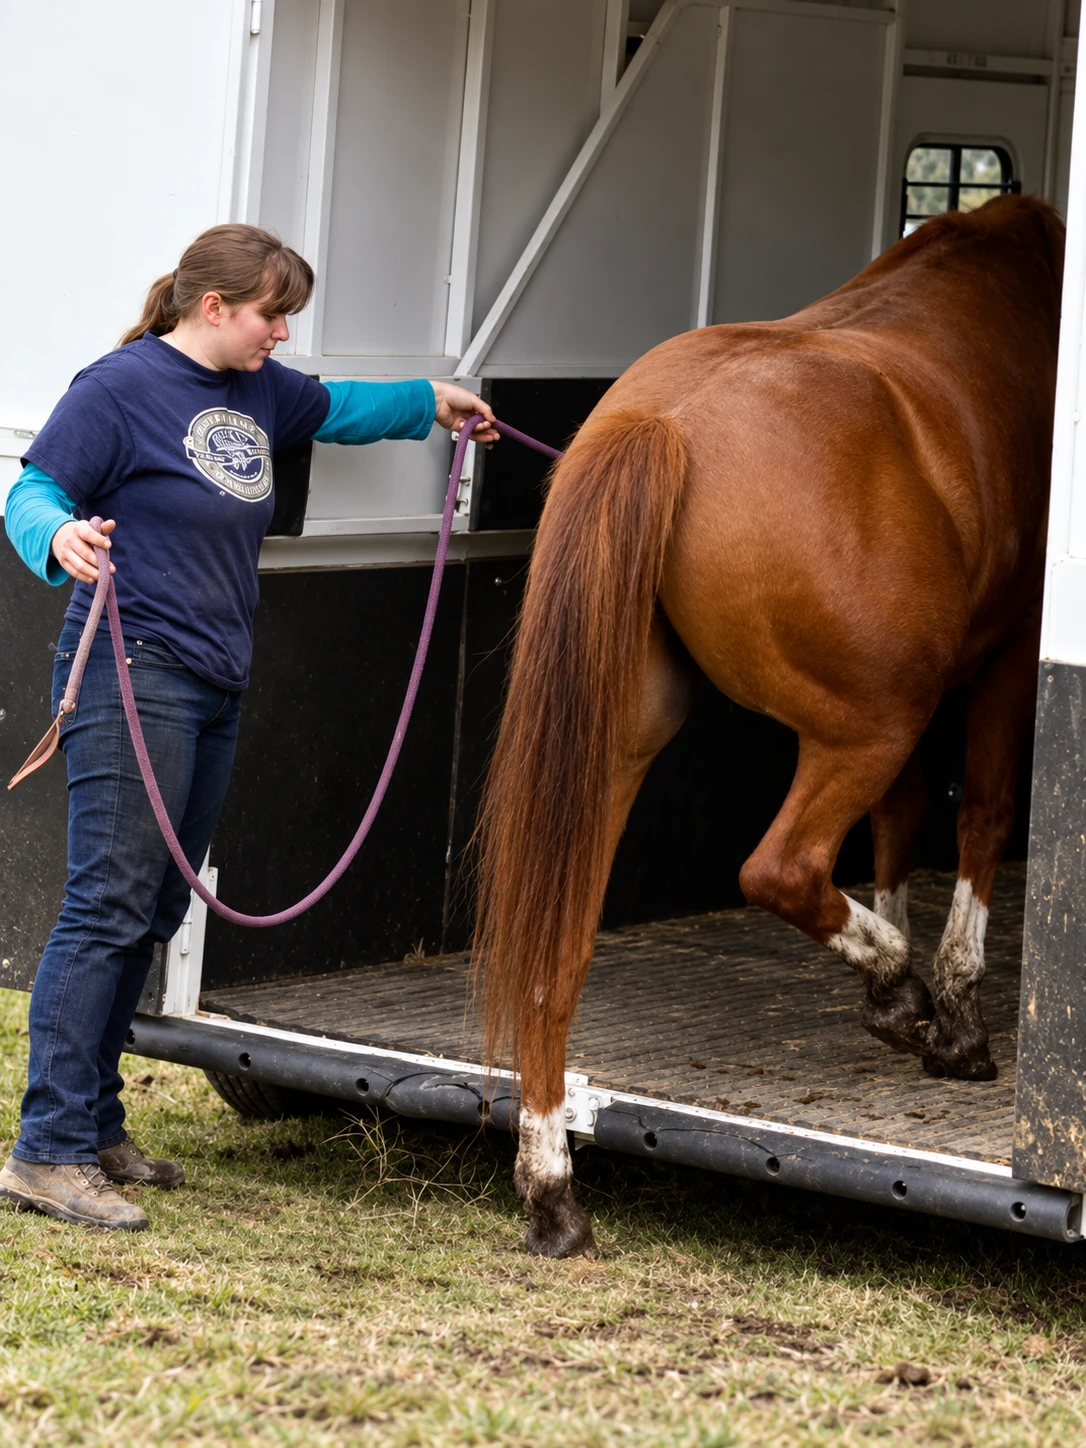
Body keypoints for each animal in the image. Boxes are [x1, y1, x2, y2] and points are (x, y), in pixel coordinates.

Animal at [473, 194, 1065, 1258]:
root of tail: (659, 423)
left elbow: (903, 820)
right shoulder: (1008, 654)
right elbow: (985, 812)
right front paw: (947, 1007)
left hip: (621, 755)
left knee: (557, 949)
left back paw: (552, 1191)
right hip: (871, 725)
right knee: (781, 869)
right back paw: (910, 992)